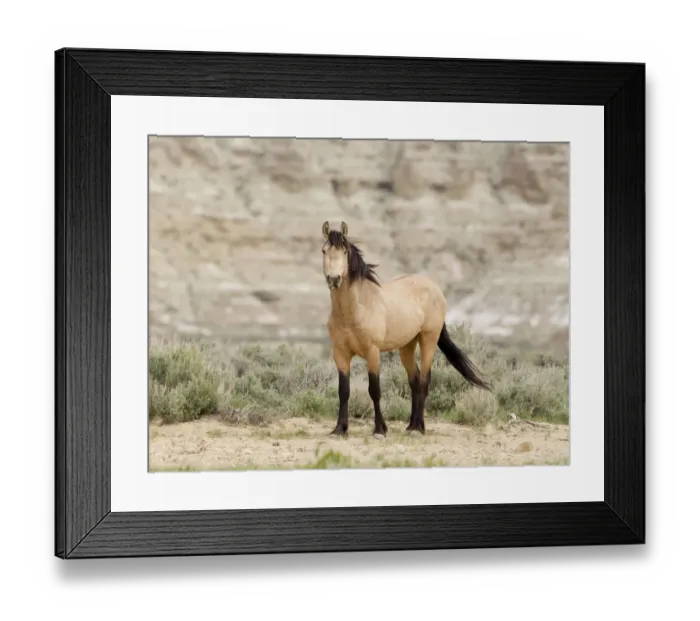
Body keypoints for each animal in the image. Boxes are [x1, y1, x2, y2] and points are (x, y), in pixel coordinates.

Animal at [320, 220, 492, 438]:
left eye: (344, 251)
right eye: (324, 250)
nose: (333, 279)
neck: (357, 308)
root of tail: (434, 288)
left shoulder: (373, 352)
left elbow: (374, 390)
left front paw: (379, 430)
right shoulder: (340, 353)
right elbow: (343, 391)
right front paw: (339, 429)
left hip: (428, 340)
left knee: (424, 380)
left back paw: (418, 429)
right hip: (407, 346)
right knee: (414, 380)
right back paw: (412, 425)